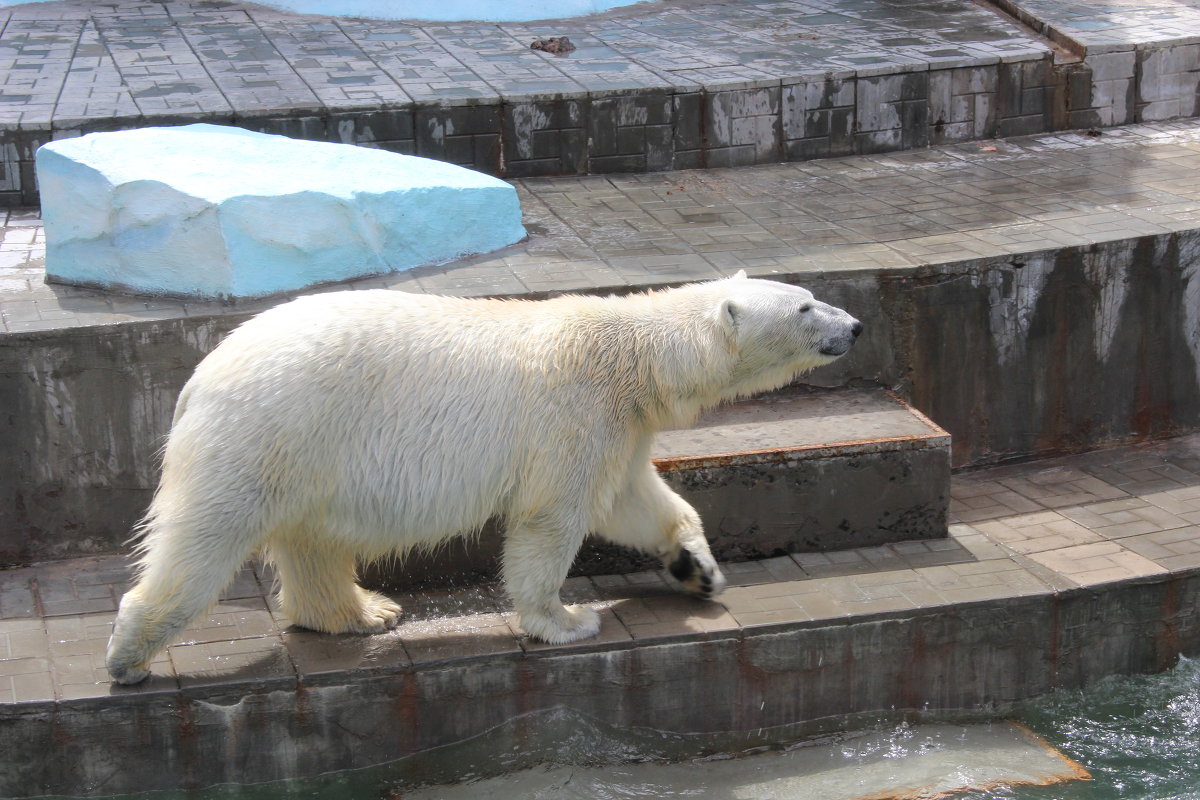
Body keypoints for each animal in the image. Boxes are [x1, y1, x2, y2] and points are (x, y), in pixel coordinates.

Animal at [100, 273, 854, 681]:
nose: (854, 325)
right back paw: (130, 652)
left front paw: (696, 567)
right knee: (207, 535)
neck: (635, 355)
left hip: (304, 453)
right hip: (269, 431)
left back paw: (361, 612)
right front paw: (566, 620)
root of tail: (198, 379)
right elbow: (553, 518)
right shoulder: (574, 411)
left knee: (311, 539)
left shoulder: (621, 425)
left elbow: (635, 500)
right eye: (805, 306)